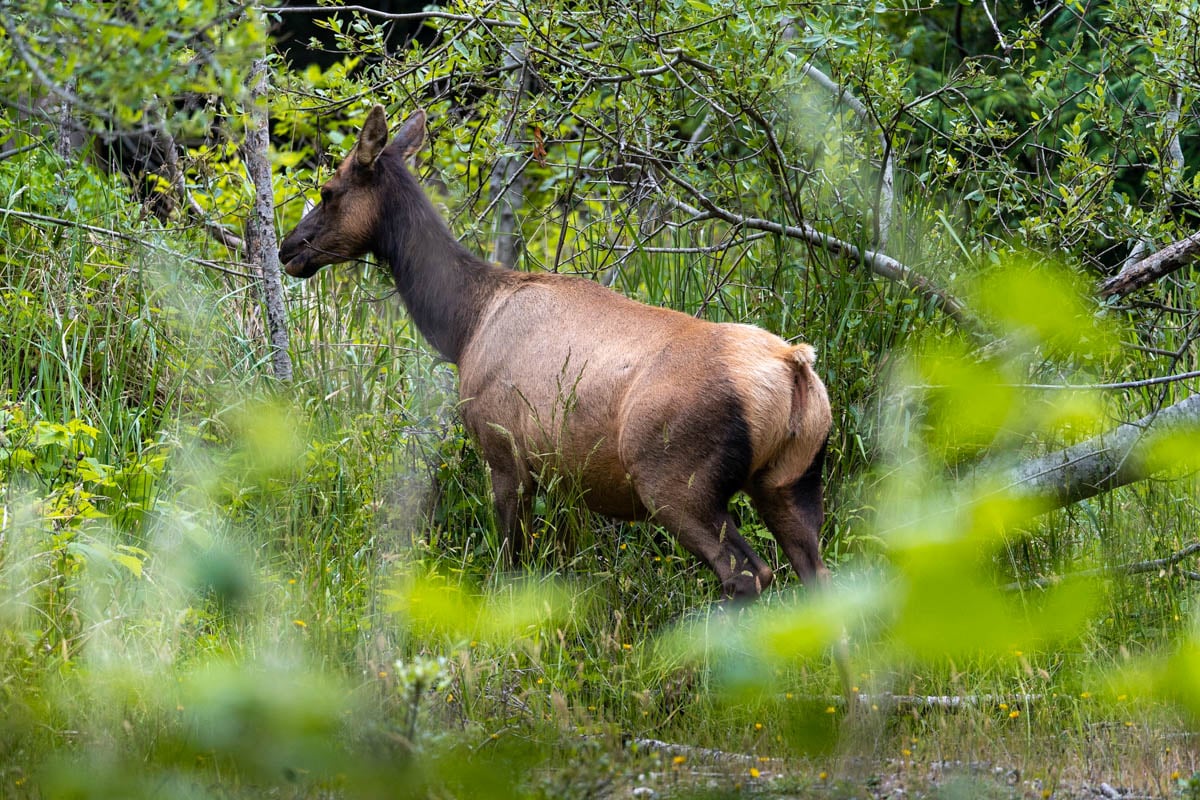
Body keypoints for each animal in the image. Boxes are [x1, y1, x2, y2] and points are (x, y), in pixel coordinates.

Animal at [280, 107, 835, 606]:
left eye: (328, 190)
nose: (288, 248)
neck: (464, 325)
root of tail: (794, 369)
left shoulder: (503, 450)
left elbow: (509, 567)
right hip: (791, 482)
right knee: (822, 581)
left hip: (676, 480)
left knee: (747, 575)